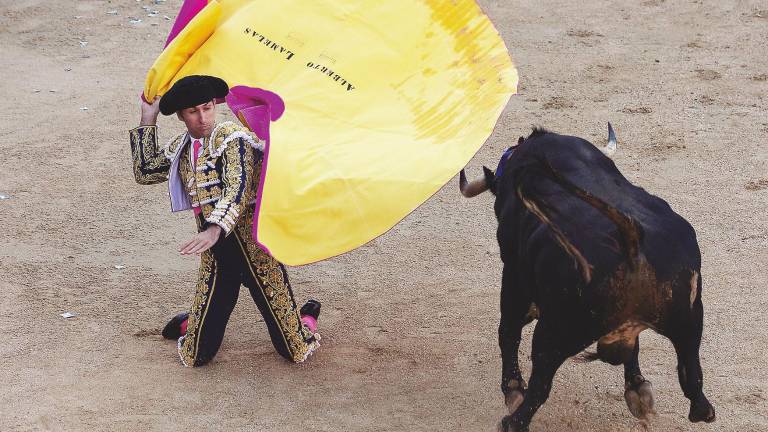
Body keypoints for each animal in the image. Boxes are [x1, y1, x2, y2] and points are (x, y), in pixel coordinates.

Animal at [462, 128, 720, 432]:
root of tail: (633, 242)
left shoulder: (514, 277)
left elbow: (508, 332)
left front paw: (513, 390)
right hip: (690, 321)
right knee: (695, 384)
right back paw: (646, 393)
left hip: (555, 330)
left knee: (539, 385)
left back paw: (513, 418)